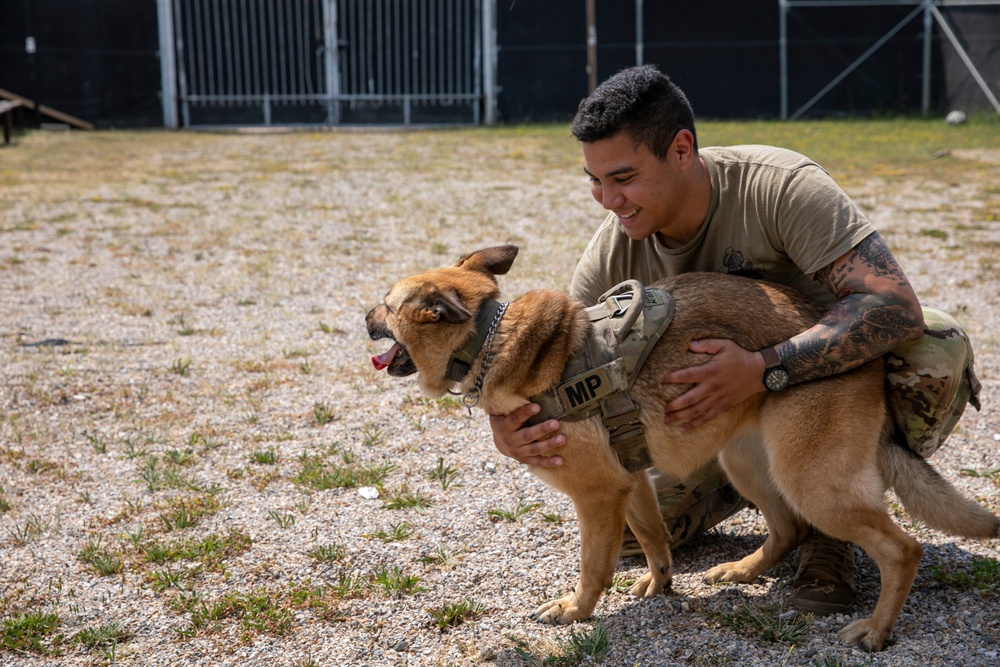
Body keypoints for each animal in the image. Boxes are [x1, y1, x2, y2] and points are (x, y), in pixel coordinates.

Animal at [368, 245, 1000, 652]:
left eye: (387, 305)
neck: (489, 338)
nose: (361, 315)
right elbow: (653, 539)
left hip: (811, 481)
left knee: (902, 548)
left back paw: (876, 630)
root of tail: (865, 356)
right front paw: (660, 585)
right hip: (749, 465)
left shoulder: (597, 496)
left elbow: (594, 566)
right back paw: (743, 570)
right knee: (789, 528)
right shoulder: (632, 484)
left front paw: (576, 611)